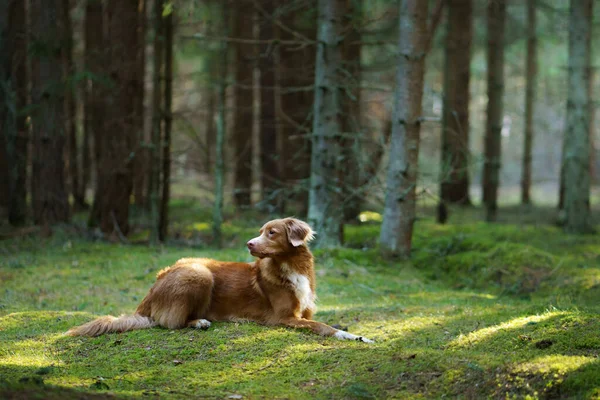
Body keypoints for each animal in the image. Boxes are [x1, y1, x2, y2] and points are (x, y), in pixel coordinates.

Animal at [68, 217, 372, 342]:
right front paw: (354, 337)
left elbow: (323, 320)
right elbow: (322, 327)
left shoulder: (305, 311)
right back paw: (199, 322)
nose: (249, 243)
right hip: (198, 272)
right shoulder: (284, 318)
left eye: (271, 232)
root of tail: (149, 294)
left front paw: (353, 331)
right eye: (260, 231)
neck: (290, 266)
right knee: (169, 322)